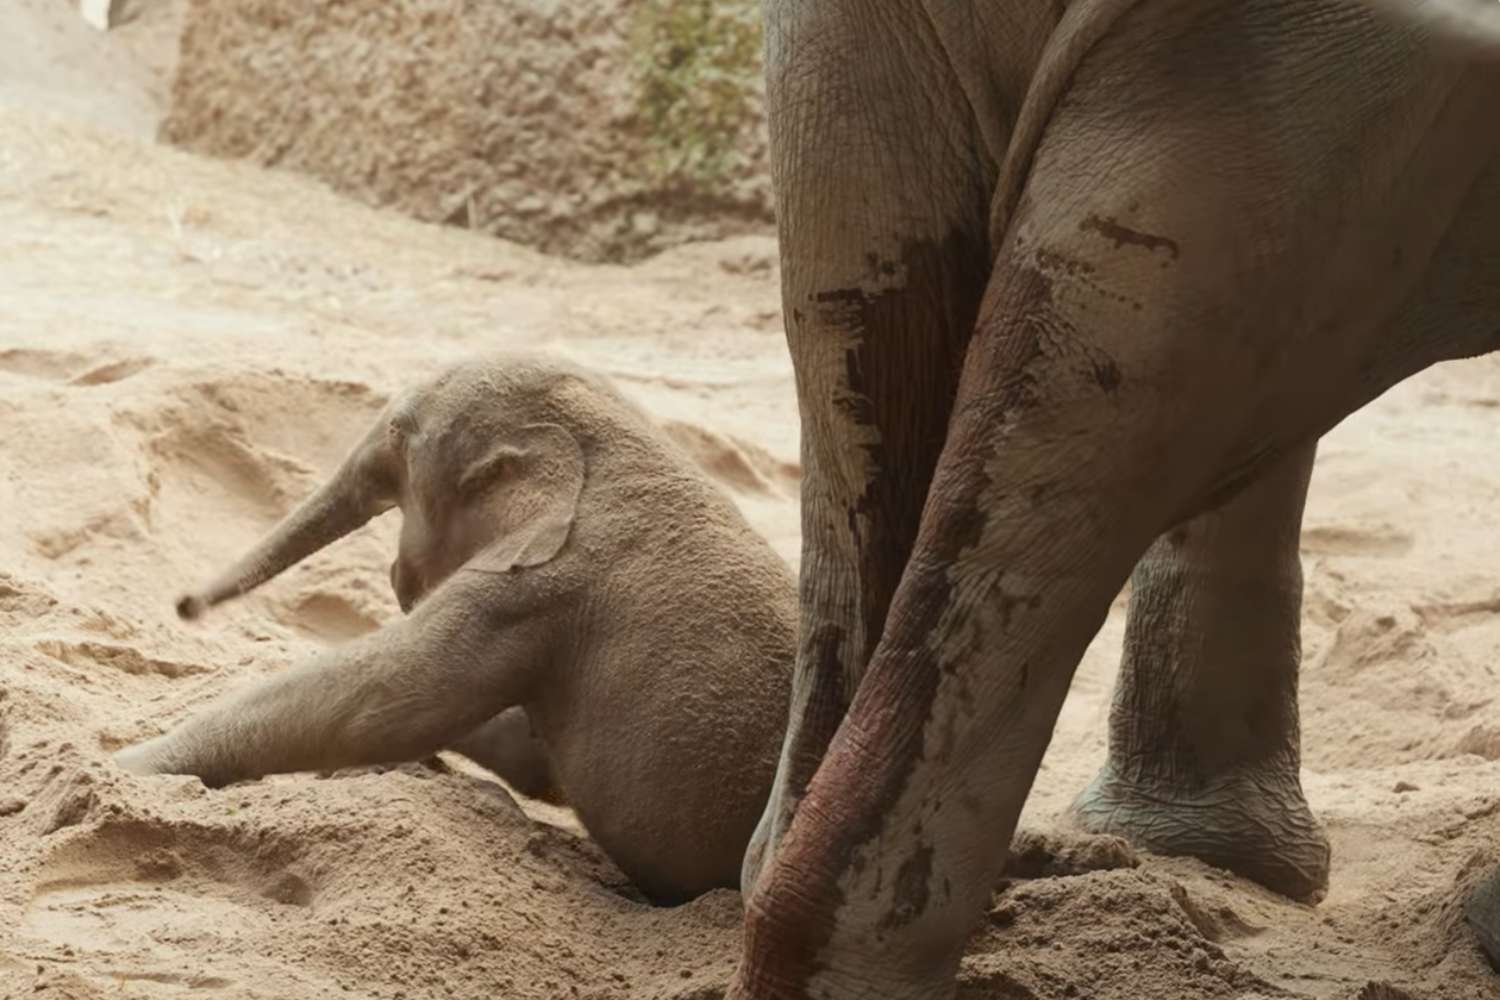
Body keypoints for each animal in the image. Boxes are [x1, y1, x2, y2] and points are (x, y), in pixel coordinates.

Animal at [114, 353, 797, 904]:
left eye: (399, 432)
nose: (185, 605)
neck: (614, 443)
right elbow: (532, 758)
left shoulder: (531, 591)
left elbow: (375, 703)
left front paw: (122, 766)